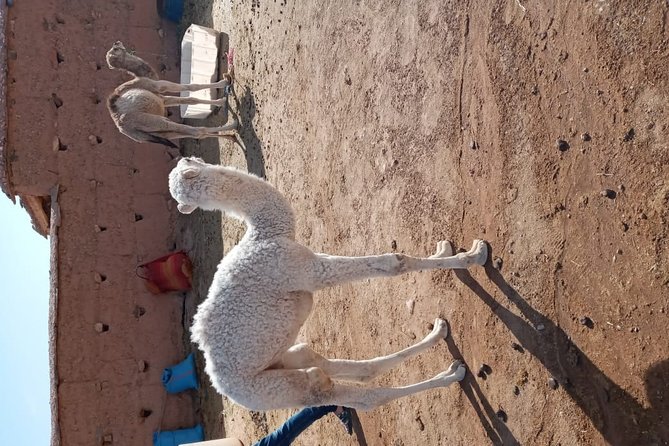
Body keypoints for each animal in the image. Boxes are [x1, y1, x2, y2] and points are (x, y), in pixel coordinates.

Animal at [105, 41, 239, 148]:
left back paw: (232, 136)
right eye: (115, 49)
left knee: (192, 134)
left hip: (159, 133)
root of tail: (124, 128)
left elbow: (190, 99)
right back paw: (233, 124)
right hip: (154, 121)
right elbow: (190, 87)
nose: (117, 42)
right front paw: (223, 90)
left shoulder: (162, 99)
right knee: (197, 131)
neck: (141, 77)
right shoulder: (160, 86)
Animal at [168, 157, 489, 411]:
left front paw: (445, 250)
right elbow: (394, 263)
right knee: (361, 397)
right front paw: (474, 256)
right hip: (281, 390)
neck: (265, 234)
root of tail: (224, 388)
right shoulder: (307, 270)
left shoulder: (309, 259)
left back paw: (439, 335)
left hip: (283, 358)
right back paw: (452, 374)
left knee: (332, 363)